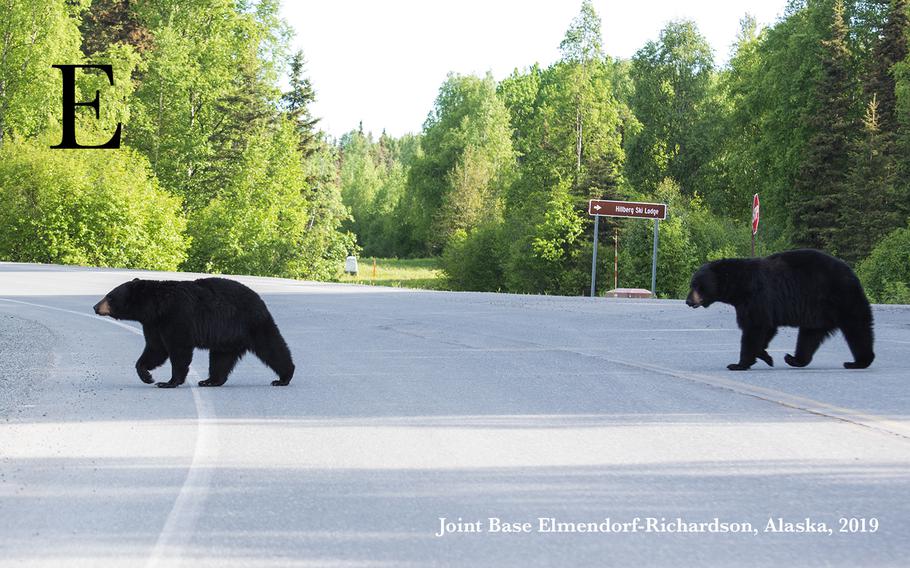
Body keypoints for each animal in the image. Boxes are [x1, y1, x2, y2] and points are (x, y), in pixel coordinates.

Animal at [92, 278, 294, 388]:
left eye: (110, 296)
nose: (95, 306)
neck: (157, 307)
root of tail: (260, 300)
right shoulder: (153, 324)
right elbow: (155, 349)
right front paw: (147, 376)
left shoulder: (176, 316)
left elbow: (178, 349)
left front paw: (168, 382)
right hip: (226, 338)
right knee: (221, 359)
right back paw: (210, 380)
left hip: (252, 323)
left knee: (271, 347)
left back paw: (284, 377)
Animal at [692, 251, 876, 370]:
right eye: (692, 285)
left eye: (698, 286)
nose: (688, 300)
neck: (739, 285)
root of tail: (853, 274)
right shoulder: (761, 305)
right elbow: (766, 329)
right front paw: (765, 356)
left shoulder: (756, 298)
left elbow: (754, 328)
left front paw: (738, 364)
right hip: (818, 313)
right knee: (809, 337)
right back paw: (795, 359)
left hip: (842, 299)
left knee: (857, 329)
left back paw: (859, 362)